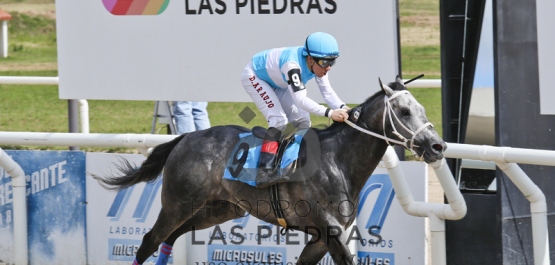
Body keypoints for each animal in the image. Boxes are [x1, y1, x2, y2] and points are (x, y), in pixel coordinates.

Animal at [92, 75, 448, 262]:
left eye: (421, 108)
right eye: (404, 111)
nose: (437, 146)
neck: (338, 161)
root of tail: (186, 137)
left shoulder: (321, 238)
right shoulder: (331, 232)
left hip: (218, 210)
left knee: (173, 236)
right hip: (178, 204)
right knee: (149, 241)